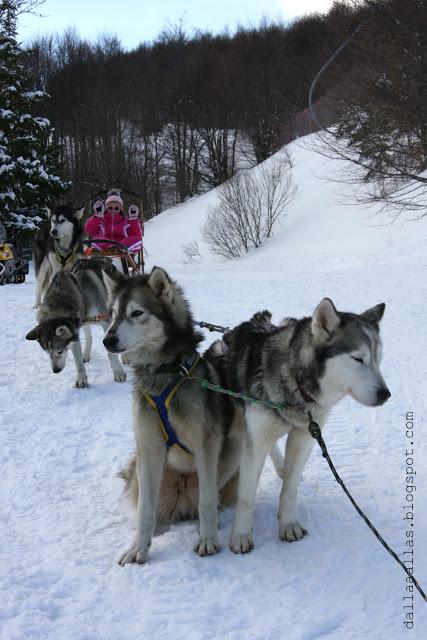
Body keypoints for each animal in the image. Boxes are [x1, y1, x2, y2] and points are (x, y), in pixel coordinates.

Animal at [26, 258, 127, 388]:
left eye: (59, 351)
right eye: (47, 352)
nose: (56, 370)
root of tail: (107, 259)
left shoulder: (106, 322)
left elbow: (111, 352)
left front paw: (118, 372)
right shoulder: (74, 333)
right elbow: (78, 362)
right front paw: (81, 379)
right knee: (89, 336)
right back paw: (86, 354)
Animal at [226, 298, 392, 552]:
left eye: (378, 359)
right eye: (357, 358)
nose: (385, 394)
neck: (297, 384)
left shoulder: (304, 439)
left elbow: (290, 489)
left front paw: (289, 524)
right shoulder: (257, 439)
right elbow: (246, 497)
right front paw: (241, 536)